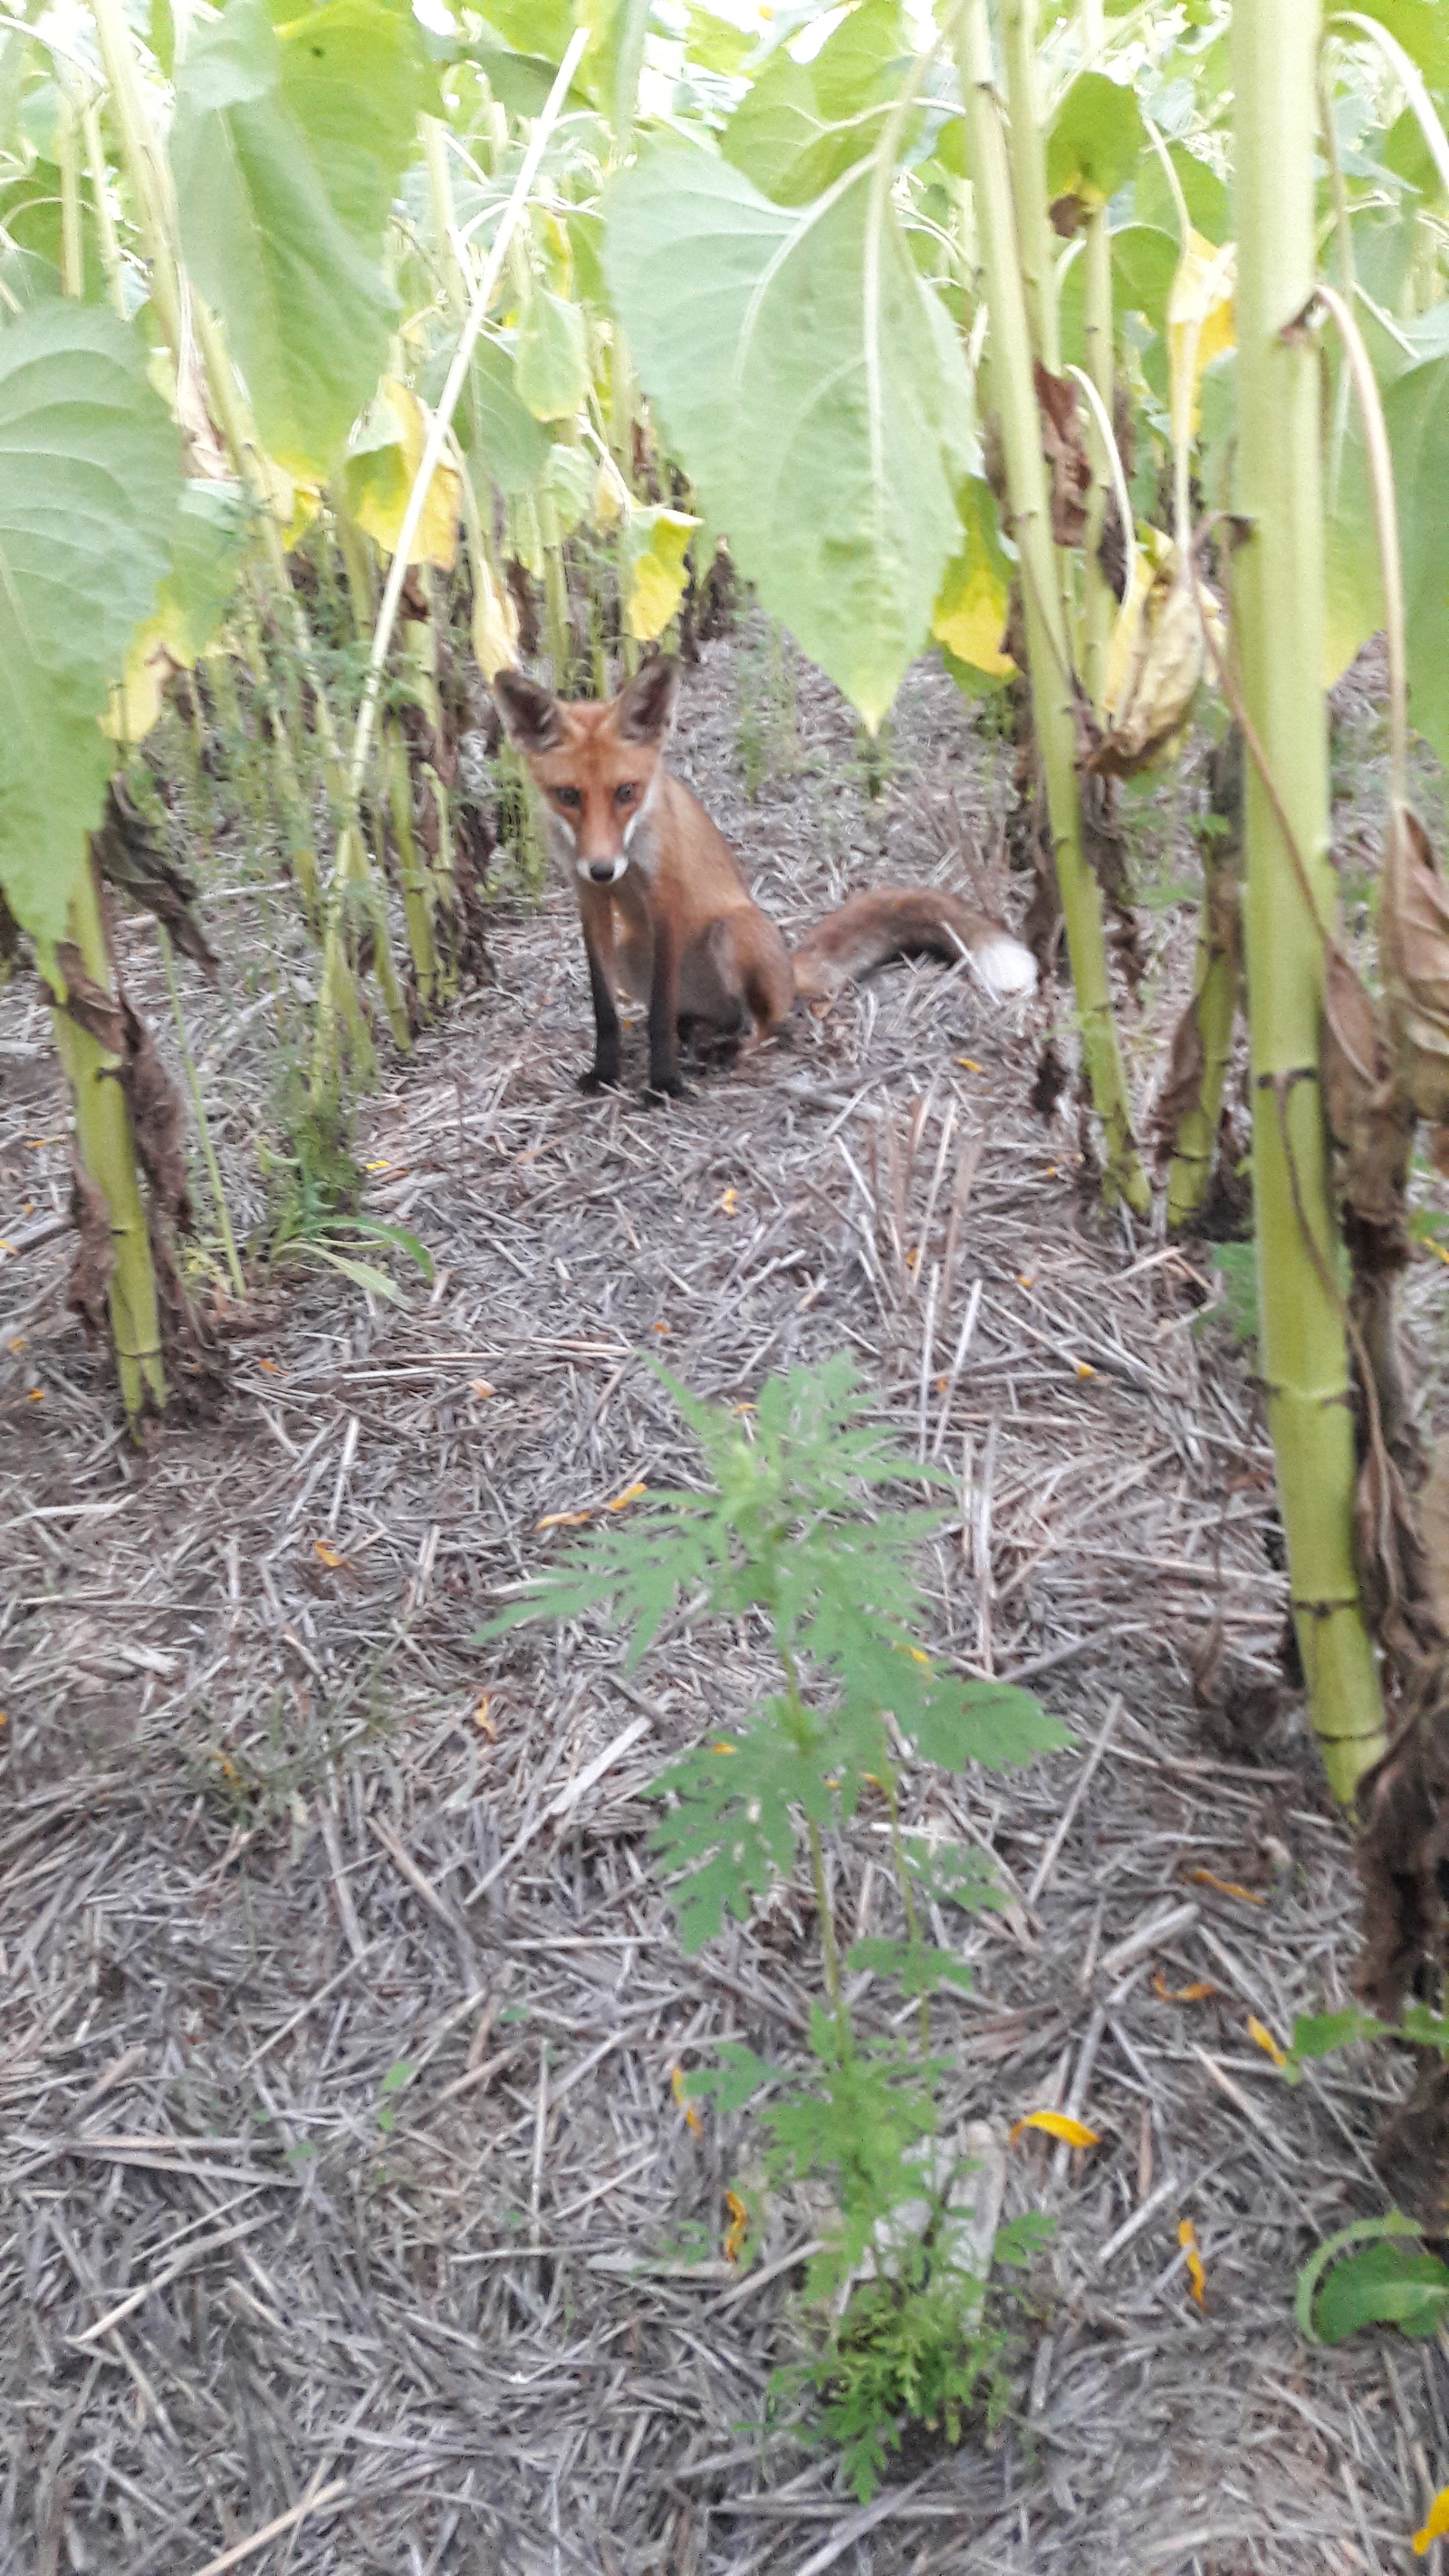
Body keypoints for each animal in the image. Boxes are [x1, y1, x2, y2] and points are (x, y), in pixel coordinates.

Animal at [494, 654, 1040, 1097]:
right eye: (568, 796)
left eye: (626, 791)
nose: (605, 867)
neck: (629, 856)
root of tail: (789, 969)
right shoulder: (588, 898)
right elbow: (606, 1009)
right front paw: (605, 1073)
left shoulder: (665, 897)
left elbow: (657, 1017)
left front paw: (663, 1083)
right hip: (633, 950)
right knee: (697, 1015)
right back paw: (696, 1031)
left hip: (732, 933)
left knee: (766, 1025)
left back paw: (730, 1048)